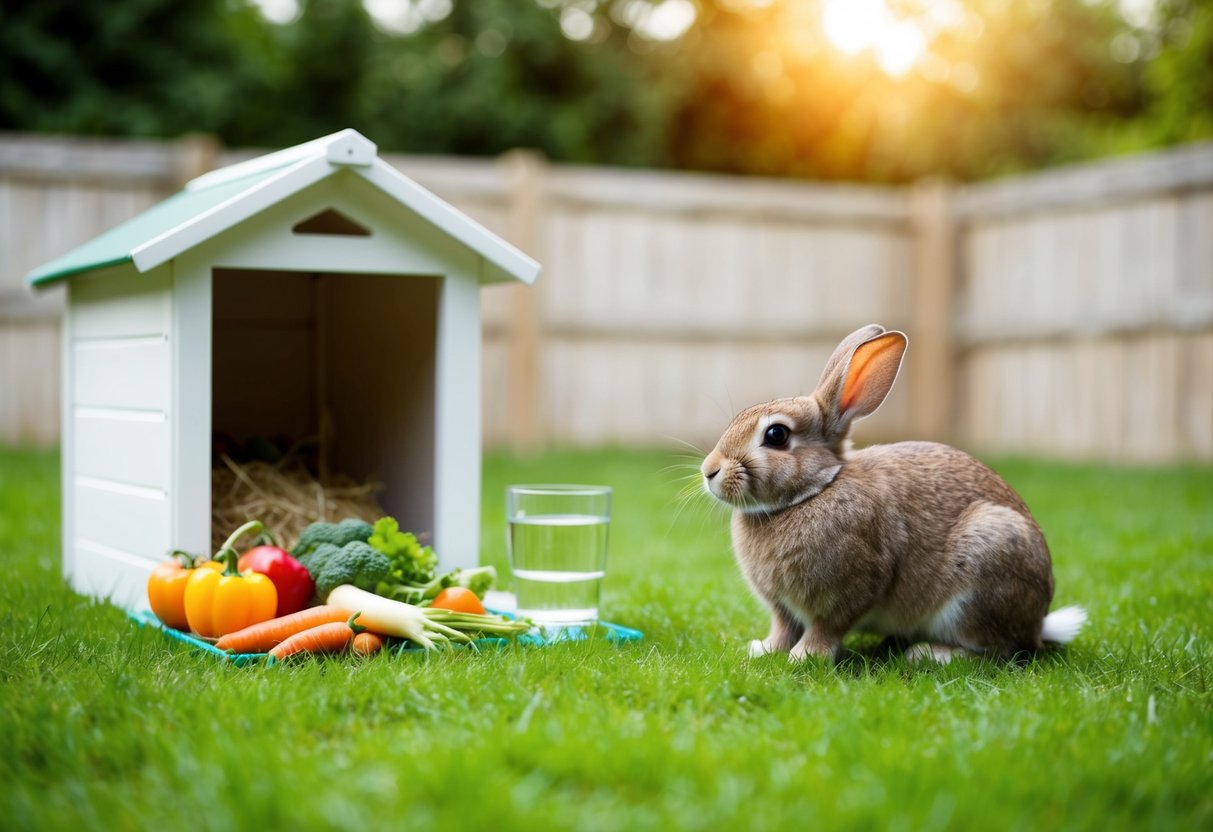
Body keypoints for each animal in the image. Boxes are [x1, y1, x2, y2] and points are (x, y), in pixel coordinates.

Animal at [701, 324, 1087, 664]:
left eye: (776, 435)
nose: (709, 471)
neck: (816, 489)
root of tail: (1037, 623)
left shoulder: (849, 590)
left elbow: (826, 628)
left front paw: (805, 658)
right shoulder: (783, 608)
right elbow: (783, 628)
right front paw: (764, 650)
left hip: (983, 571)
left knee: (999, 650)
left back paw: (929, 654)